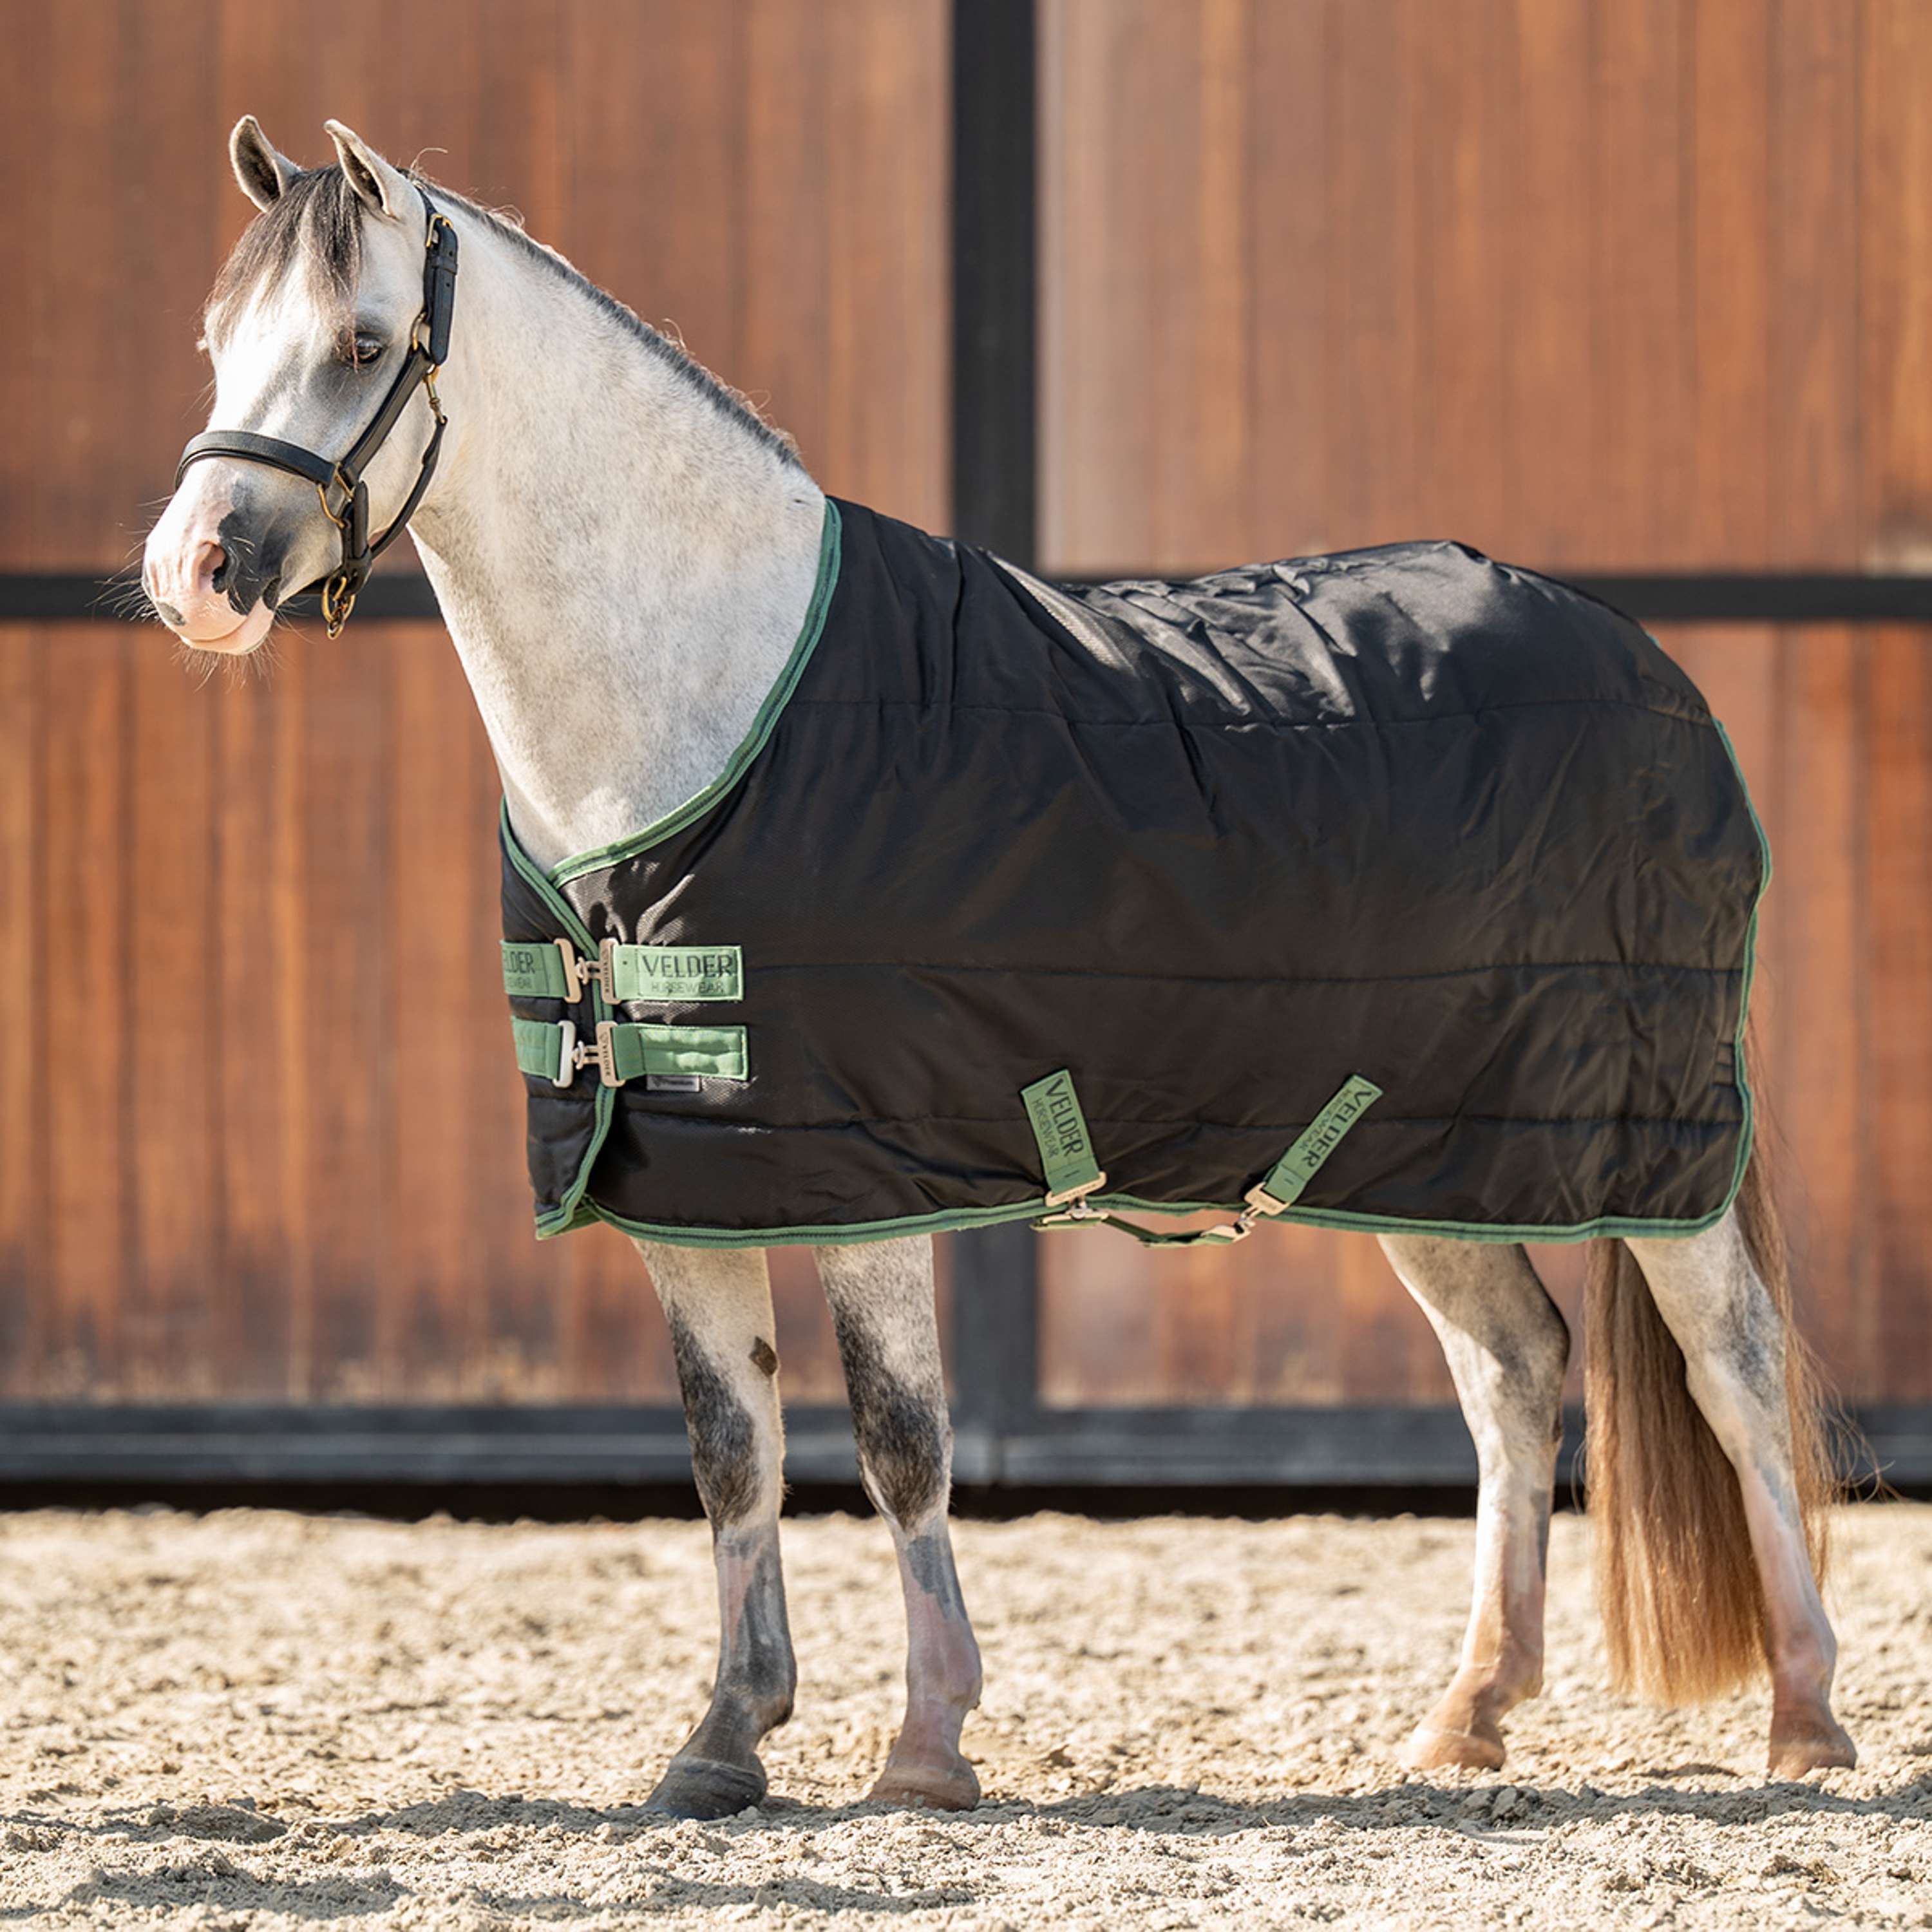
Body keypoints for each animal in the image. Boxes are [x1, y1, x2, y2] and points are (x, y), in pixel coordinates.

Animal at [142, 119, 1855, 1817]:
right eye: (216, 342)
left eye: (365, 342)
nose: (192, 578)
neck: (716, 696)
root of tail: (1644, 664)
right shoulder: (684, 1179)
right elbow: (730, 1450)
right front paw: (724, 1738)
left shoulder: (865, 1172)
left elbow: (899, 1440)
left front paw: (923, 1743)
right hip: (1413, 1146)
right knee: (1512, 1370)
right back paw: (1467, 1716)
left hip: (1650, 1152)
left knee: (1733, 1365)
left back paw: (1803, 1720)